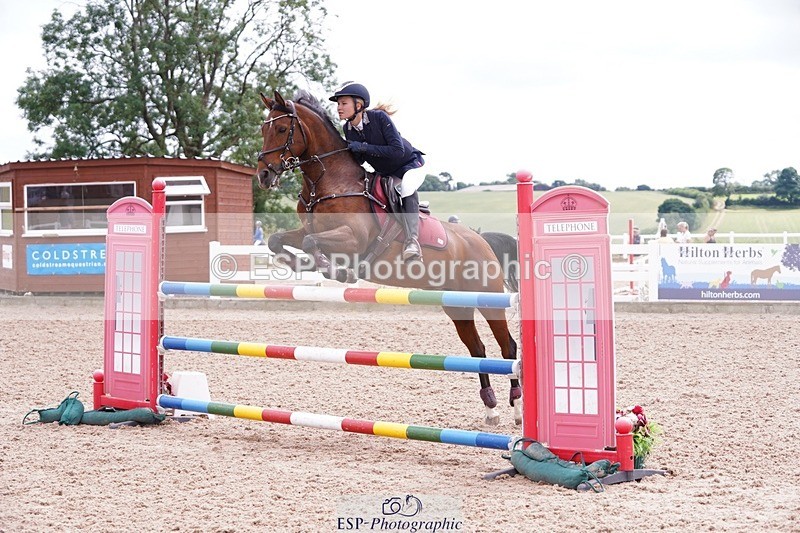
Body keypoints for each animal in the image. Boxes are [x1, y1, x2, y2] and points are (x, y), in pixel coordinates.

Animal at [255, 90, 519, 426]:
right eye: (263, 129)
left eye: (280, 129)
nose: (264, 175)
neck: (328, 181)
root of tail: (480, 240)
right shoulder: (306, 231)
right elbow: (279, 240)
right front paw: (299, 263)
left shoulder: (352, 239)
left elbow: (315, 244)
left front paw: (334, 270)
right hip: (456, 304)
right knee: (478, 349)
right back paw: (491, 409)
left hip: (487, 298)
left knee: (507, 347)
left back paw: (516, 406)